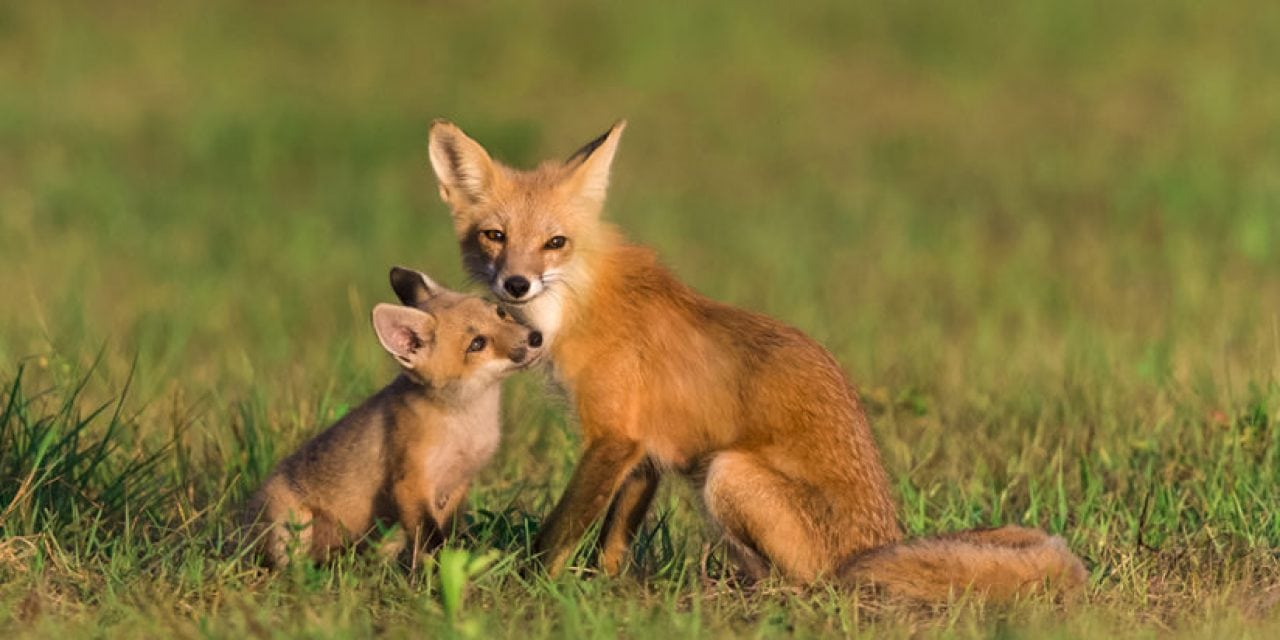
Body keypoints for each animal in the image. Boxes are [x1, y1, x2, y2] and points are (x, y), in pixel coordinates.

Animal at [424, 120, 1085, 599]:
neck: (577, 303)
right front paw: (609, 591)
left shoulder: (613, 438)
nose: (515, 285)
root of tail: (881, 540)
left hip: (728, 474)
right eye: (494, 236)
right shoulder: (643, 449)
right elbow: (614, 538)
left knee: (813, 585)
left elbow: (558, 532)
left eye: (555, 243)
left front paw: (527, 590)